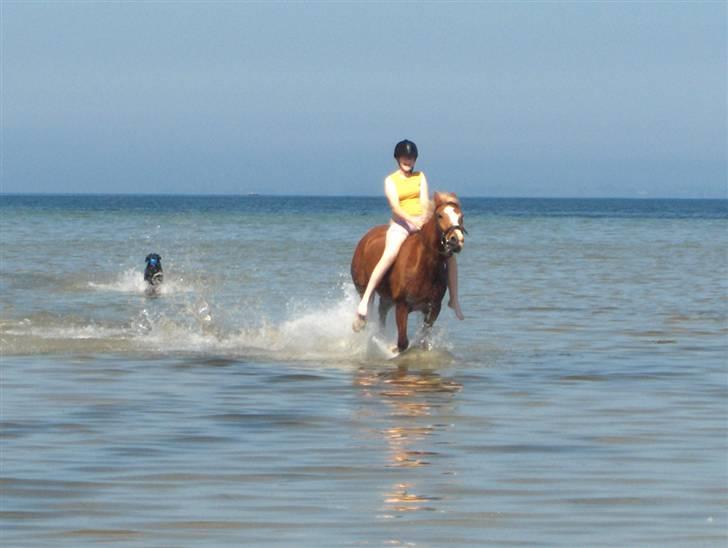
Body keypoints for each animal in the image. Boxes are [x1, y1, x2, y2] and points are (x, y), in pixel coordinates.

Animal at [352, 193, 466, 352]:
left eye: (461, 216)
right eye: (439, 215)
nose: (456, 241)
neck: (424, 266)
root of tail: (365, 239)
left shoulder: (433, 308)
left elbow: (423, 341)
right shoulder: (402, 306)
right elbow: (402, 343)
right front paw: (392, 350)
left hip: (387, 298)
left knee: (382, 311)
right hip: (363, 288)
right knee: (367, 301)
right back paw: (361, 321)